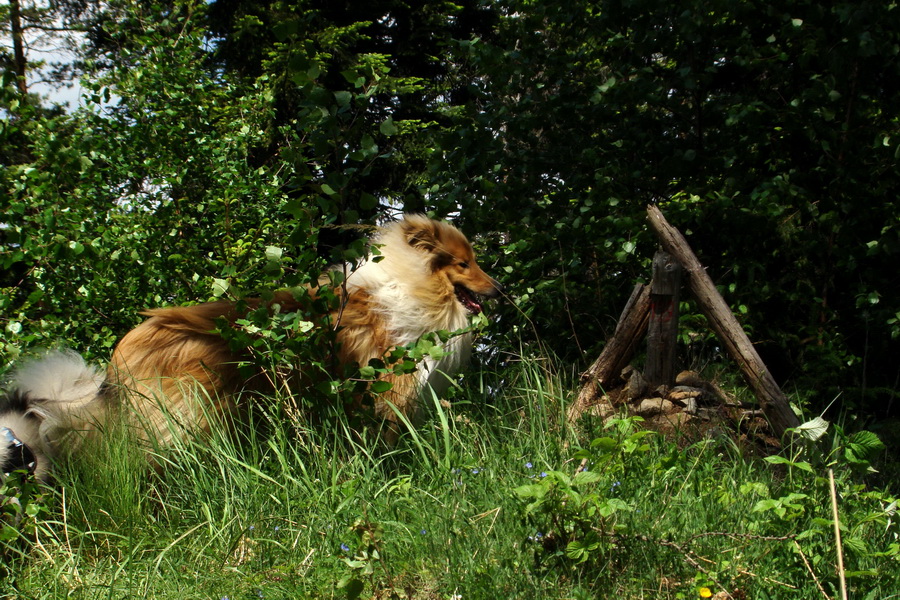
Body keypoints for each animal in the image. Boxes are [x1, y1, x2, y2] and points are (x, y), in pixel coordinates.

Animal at [1, 213, 500, 480]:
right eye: (463, 264)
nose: (499, 290)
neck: (411, 285)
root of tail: (120, 358)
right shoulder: (387, 394)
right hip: (187, 421)